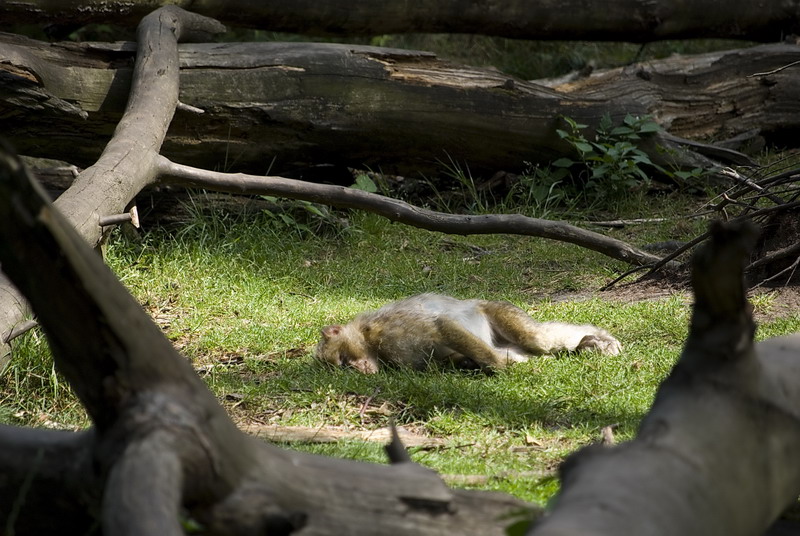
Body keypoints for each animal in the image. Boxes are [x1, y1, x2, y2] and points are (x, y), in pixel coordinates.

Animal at [316, 294, 620, 372]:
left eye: (343, 360)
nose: (358, 368)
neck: (369, 341)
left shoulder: (390, 330)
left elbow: (442, 327)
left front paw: (501, 368)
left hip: (496, 309)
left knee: (537, 339)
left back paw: (593, 338)